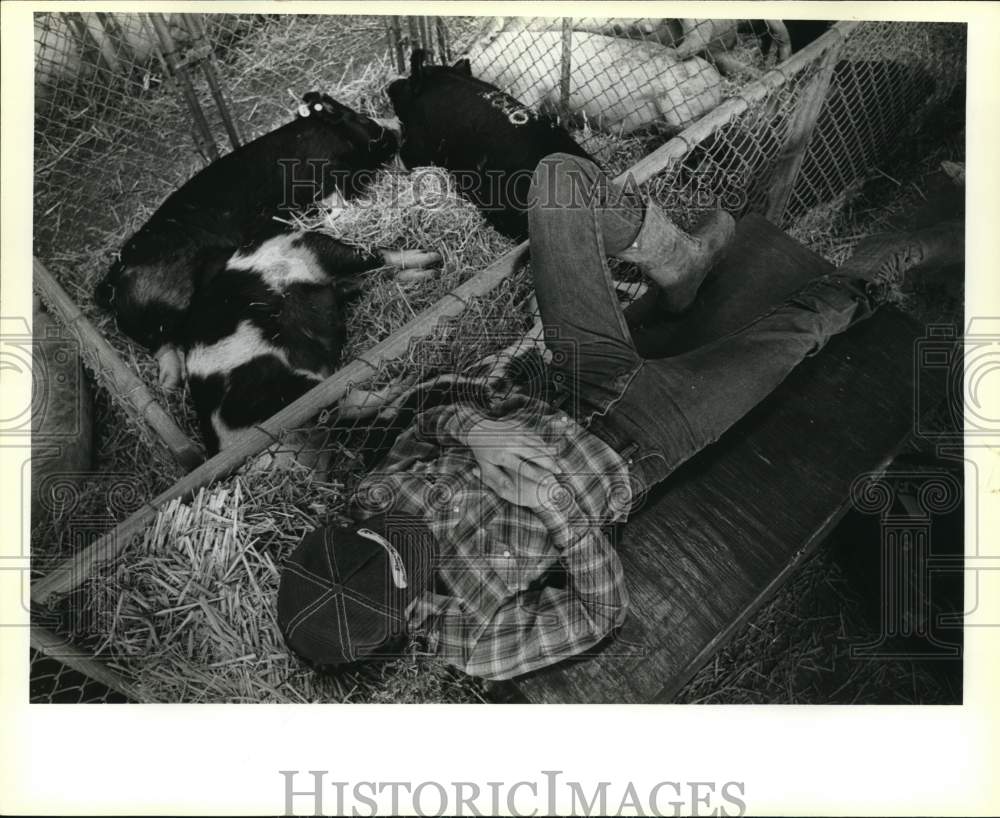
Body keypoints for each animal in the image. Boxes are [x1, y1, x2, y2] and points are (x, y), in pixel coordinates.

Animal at [95, 91, 396, 386]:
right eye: (362, 119)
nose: (394, 128)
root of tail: (110, 283)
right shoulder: (323, 178)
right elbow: (338, 205)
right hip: (165, 299)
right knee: (162, 343)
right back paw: (168, 385)